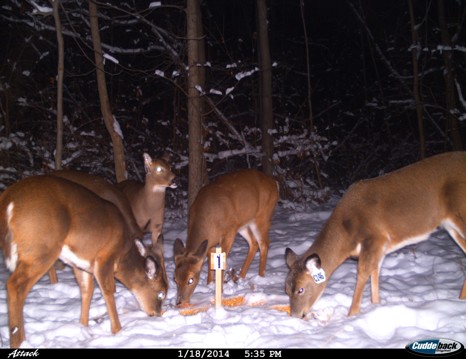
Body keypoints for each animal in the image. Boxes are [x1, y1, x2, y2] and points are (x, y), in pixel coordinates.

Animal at [0, 174, 168, 346]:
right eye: (161, 292)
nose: (157, 313)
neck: (123, 254)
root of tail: (8, 199)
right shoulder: (104, 257)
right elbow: (108, 290)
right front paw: (117, 331)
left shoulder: (82, 264)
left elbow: (87, 290)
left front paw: (83, 327)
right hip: (41, 248)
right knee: (14, 286)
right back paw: (19, 341)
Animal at [175, 169, 280, 304]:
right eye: (175, 279)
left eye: (191, 279)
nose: (179, 302)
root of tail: (274, 182)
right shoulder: (211, 240)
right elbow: (210, 257)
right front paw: (209, 284)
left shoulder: (229, 231)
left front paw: (219, 291)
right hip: (243, 224)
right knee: (253, 243)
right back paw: (240, 276)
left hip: (262, 216)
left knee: (264, 244)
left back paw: (260, 277)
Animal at [286, 151, 464, 318]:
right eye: (286, 289)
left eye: (301, 289)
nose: (296, 315)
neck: (347, 233)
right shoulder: (380, 247)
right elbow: (375, 274)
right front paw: (375, 306)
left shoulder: (375, 238)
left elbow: (363, 272)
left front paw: (352, 314)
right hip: (451, 226)